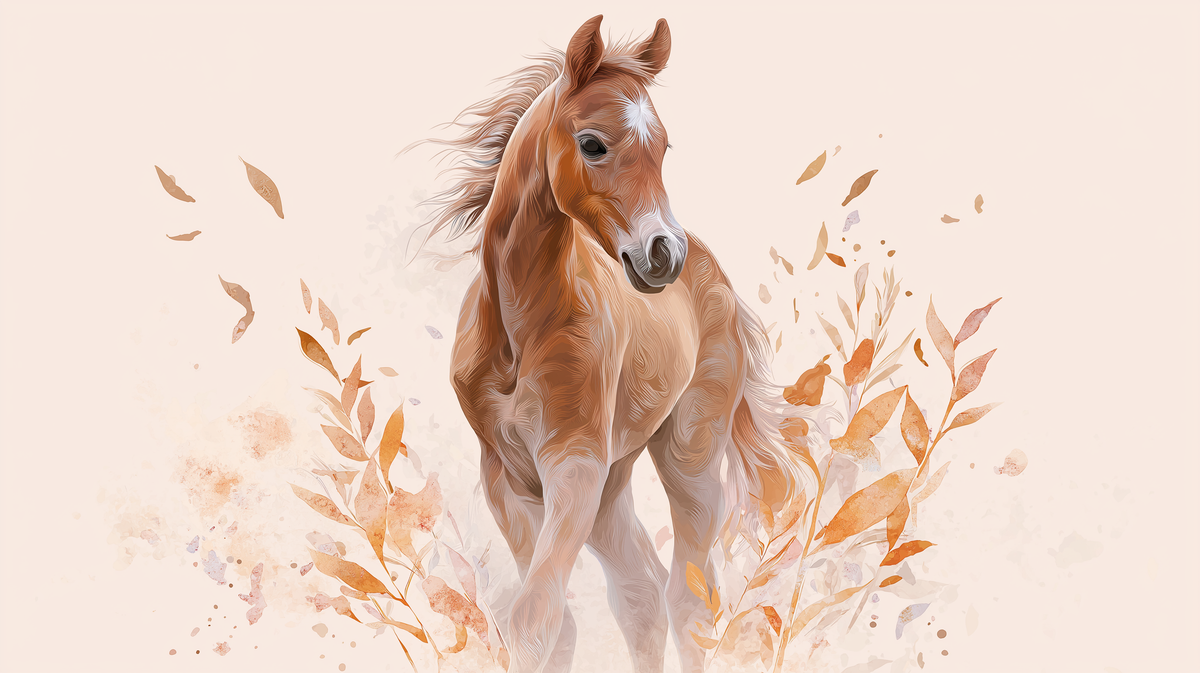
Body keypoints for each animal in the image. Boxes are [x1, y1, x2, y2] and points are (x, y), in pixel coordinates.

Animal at [408, 16, 815, 673]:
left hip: (688, 458)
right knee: (640, 593)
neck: (521, 332)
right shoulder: (509, 479)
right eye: (593, 144)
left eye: (664, 147)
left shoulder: (572, 463)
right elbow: (552, 623)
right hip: (612, 482)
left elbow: (537, 617)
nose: (663, 254)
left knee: (688, 600)